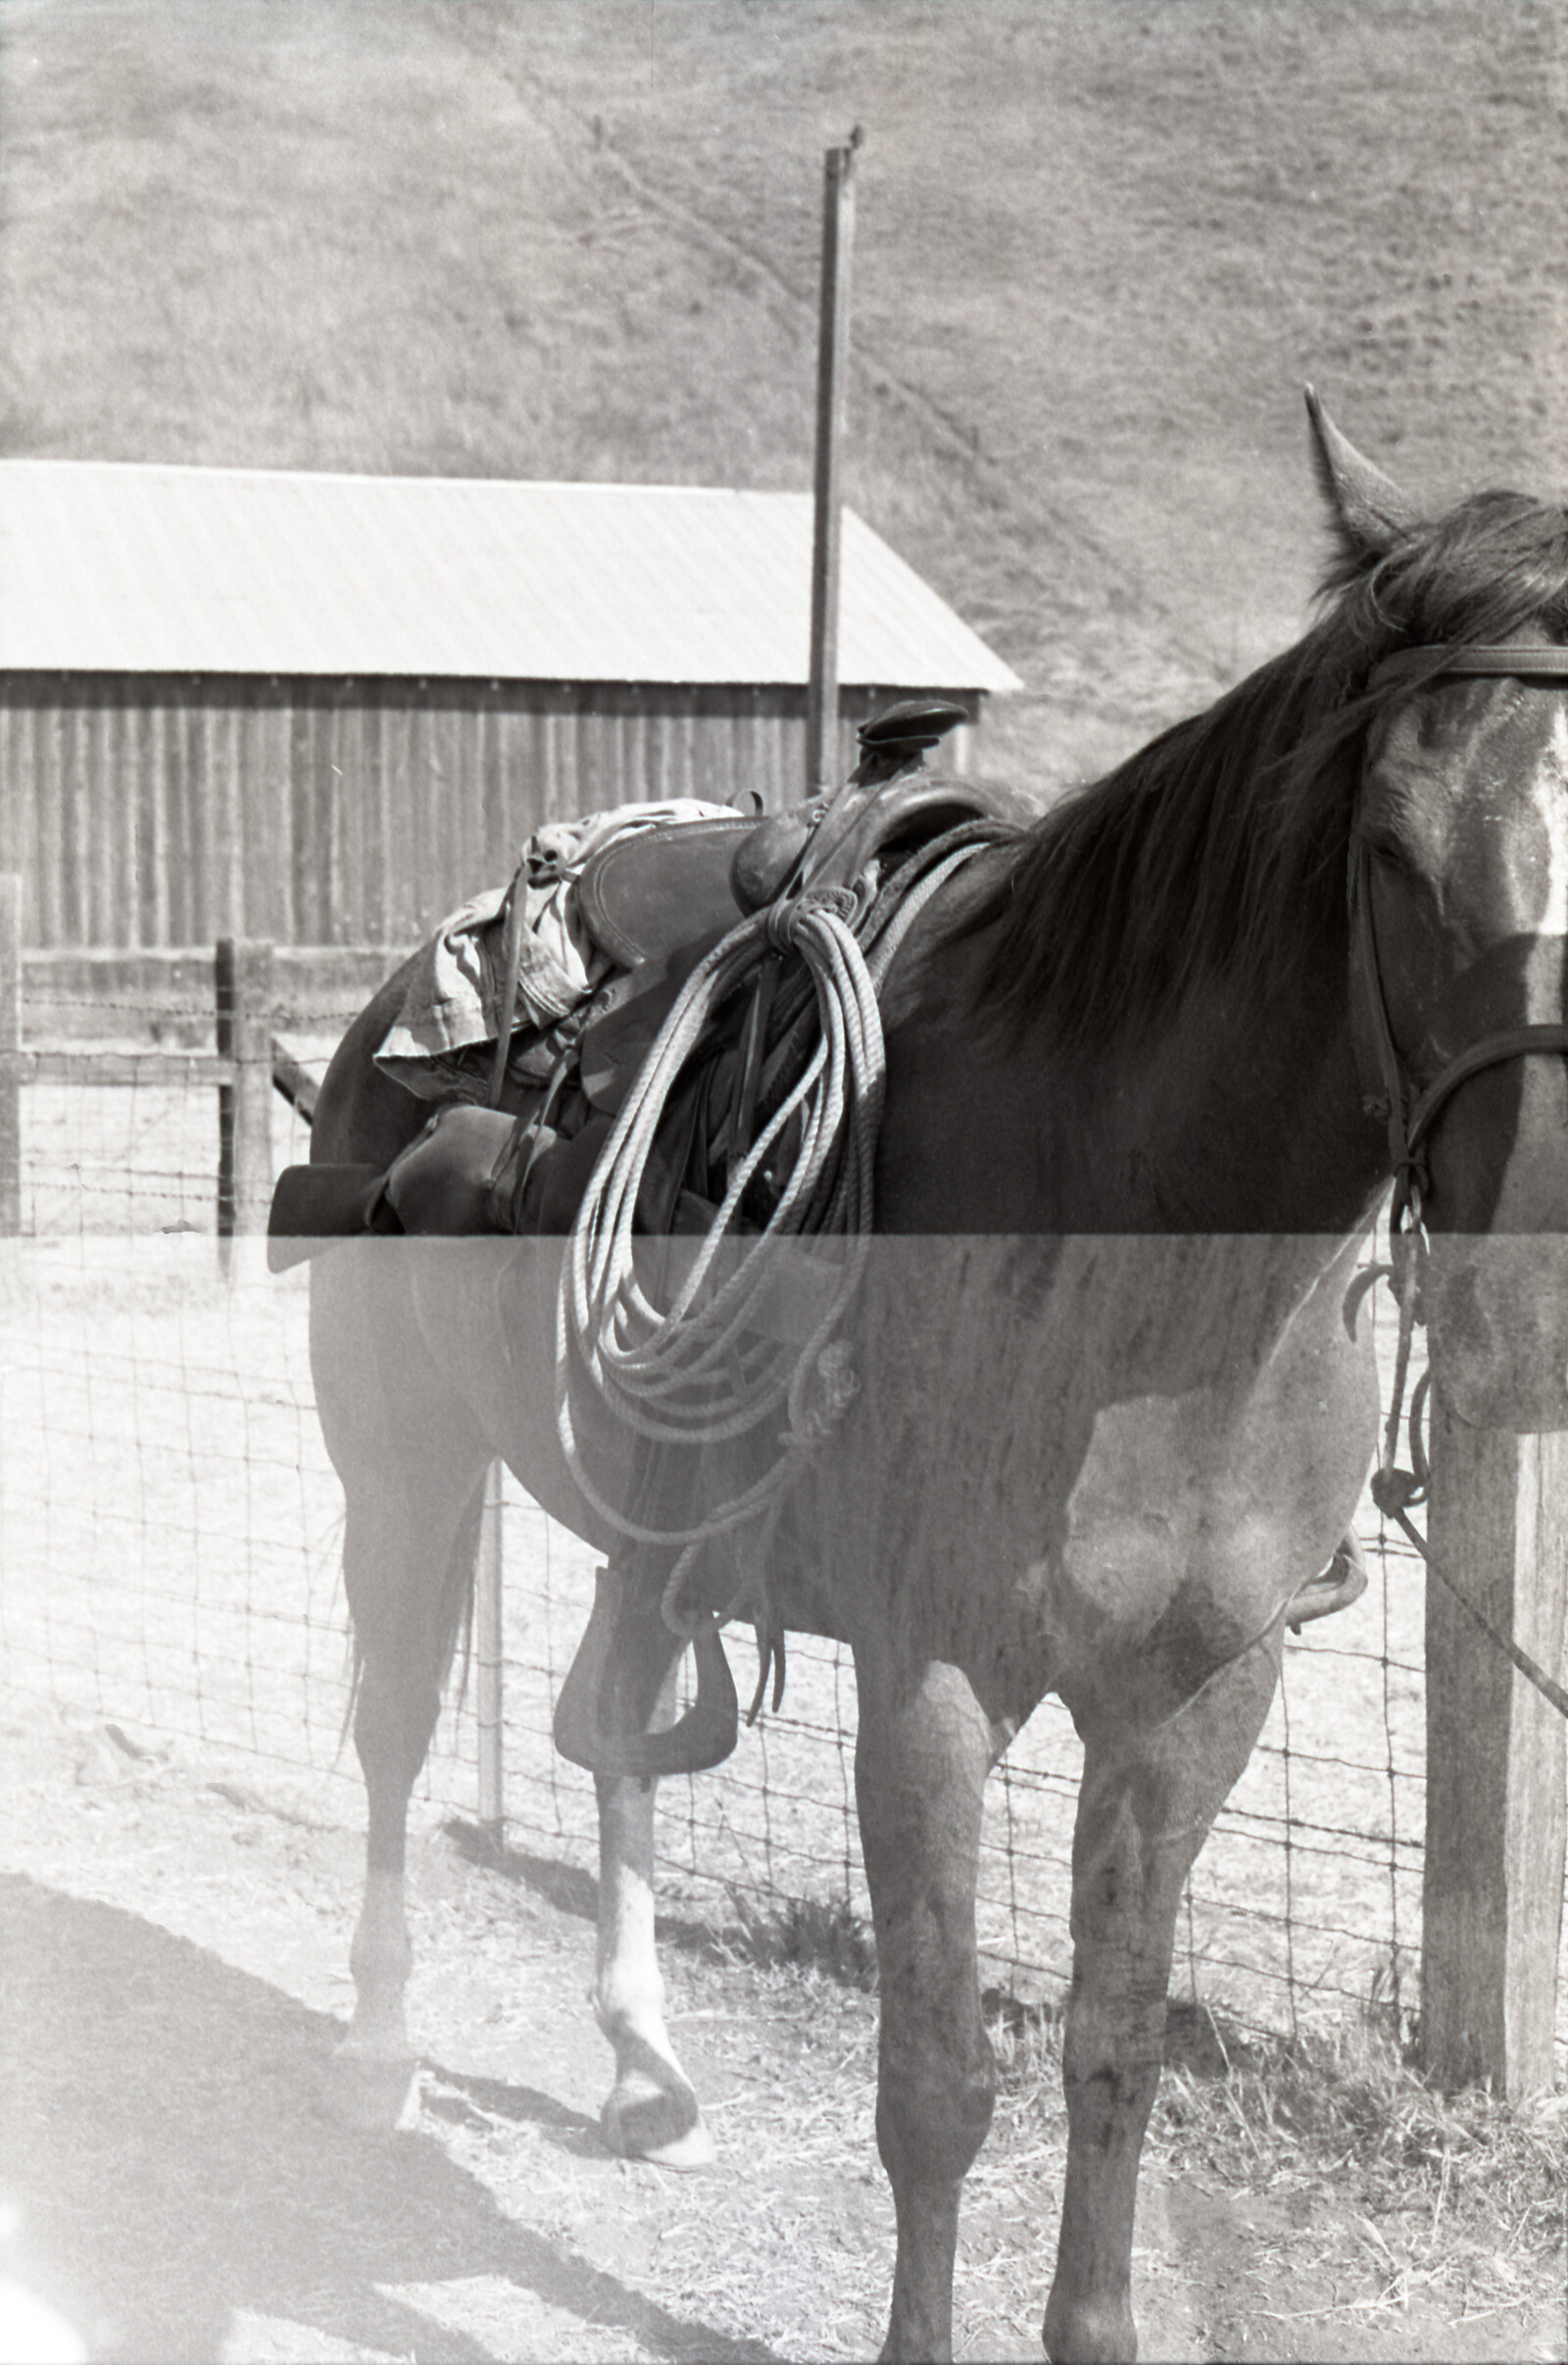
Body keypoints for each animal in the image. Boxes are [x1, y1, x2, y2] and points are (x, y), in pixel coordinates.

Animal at [300, 397, 1568, 2355]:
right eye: (1392, 852)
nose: (1537, 1293)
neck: (1141, 1252)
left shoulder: (1198, 1698)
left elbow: (1115, 2059)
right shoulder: (932, 1684)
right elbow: (937, 2082)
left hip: (644, 1523)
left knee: (610, 1724)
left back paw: (643, 2057)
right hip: (406, 1465)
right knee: (396, 1728)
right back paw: (377, 2049)